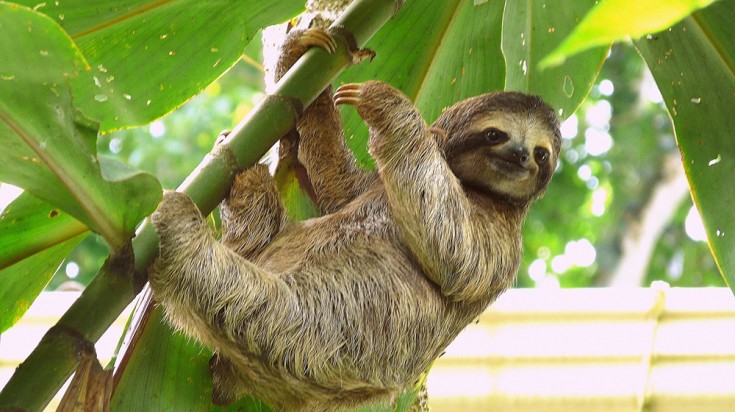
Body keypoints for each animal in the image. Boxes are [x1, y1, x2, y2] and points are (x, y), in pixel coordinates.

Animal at [148, 28, 561, 411]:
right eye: (495, 134)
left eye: (541, 154)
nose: (521, 155)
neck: (471, 185)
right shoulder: (372, 184)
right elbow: (336, 180)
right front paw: (301, 51)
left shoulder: (503, 240)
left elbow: (460, 253)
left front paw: (386, 103)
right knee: (259, 230)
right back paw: (246, 177)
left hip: (307, 337)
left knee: (236, 292)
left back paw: (181, 228)